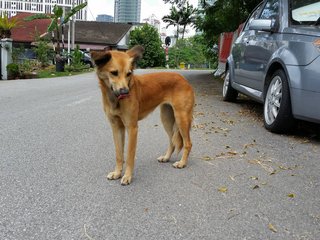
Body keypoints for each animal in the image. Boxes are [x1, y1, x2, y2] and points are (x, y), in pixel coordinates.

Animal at [90, 46, 195, 186]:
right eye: (114, 72)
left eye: (129, 74)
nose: (125, 92)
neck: (115, 99)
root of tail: (183, 79)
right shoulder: (116, 127)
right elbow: (119, 154)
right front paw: (117, 172)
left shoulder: (132, 128)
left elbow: (129, 155)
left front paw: (127, 176)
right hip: (167, 119)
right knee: (172, 141)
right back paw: (166, 157)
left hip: (181, 118)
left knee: (188, 143)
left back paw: (182, 163)